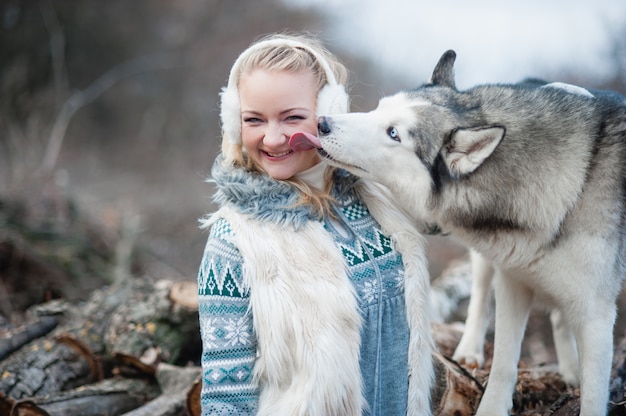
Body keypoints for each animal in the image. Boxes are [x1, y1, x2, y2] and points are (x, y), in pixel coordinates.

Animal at [292, 50, 624, 414]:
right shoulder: (514, 282)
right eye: (379, 108)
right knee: (483, 297)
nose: (322, 123)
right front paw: (492, 408)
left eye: (393, 133)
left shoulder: (596, 313)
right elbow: (504, 363)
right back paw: (473, 351)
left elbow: (593, 394)